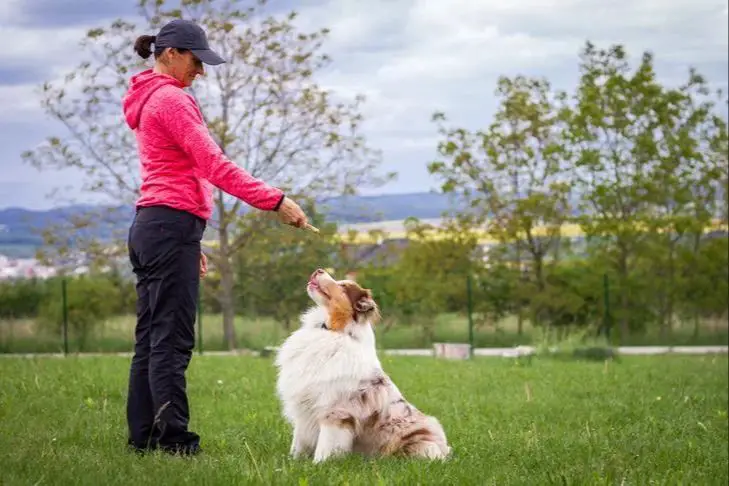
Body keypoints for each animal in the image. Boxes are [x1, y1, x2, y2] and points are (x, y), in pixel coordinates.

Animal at [272, 270, 450, 464]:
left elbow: (327, 445)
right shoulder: (304, 409)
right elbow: (298, 443)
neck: (333, 330)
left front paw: (320, 464)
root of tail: (445, 451)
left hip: (421, 443)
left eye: (343, 286)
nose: (318, 270)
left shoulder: (335, 411)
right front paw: (291, 462)